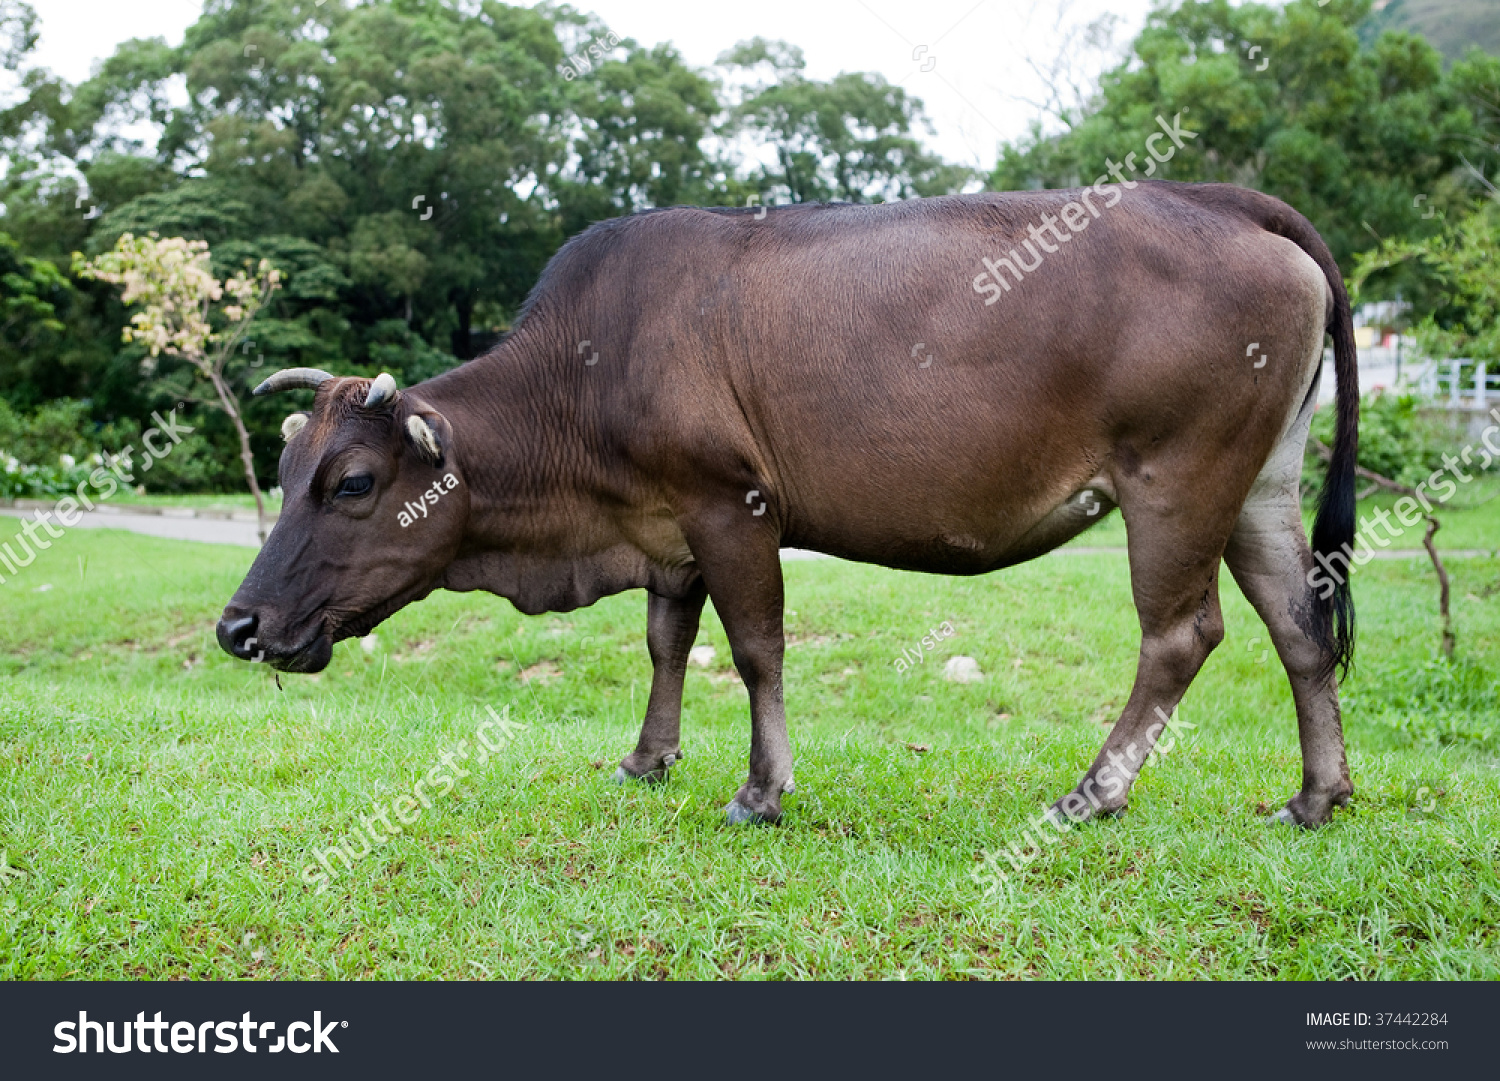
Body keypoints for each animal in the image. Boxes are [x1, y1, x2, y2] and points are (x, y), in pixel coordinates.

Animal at [219, 183, 1362, 827]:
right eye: (282, 466)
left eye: (353, 481)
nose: (238, 626)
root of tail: (1221, 198)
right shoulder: (667, 525)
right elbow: (667, 640)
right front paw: (647, 759)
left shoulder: (731, 503)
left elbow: (757, 645)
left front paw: (761, 790)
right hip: (1259, 482)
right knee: (1299, 626)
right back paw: (1317, 795)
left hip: (1177, 477)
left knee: (1182, 635)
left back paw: (1094, 793)